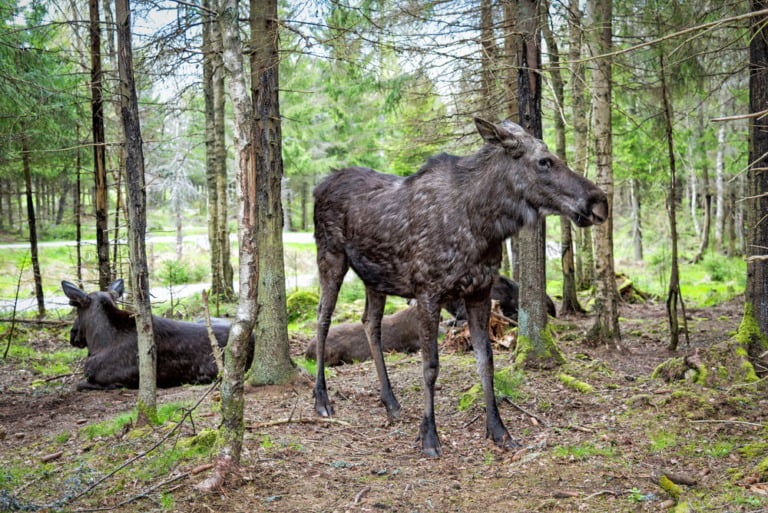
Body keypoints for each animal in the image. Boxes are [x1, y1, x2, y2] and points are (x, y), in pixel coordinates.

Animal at [310, 117, 608, 456]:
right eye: (544, 161)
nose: (600, 202)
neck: (485, 226)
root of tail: (320, 186)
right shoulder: (428, 293)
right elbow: (430, 366)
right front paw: (429, 436)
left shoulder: (480, 291)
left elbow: (486, 361)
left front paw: (499, 430)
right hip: (331, 256)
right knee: (322, 318)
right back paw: (322, 399)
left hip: (375, 277)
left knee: (370, 323)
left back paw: (391, 401)